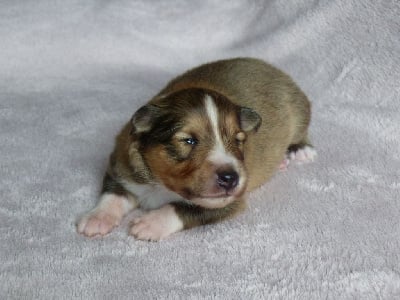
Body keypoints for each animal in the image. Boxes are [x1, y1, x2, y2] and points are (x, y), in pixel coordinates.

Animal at [77, 57, 316, 241]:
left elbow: (183, 208)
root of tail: (270, 66)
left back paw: (298, 151)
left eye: (238, 140)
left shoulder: (226, 201)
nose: (230, 178)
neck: (161, 185)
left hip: (299, 110)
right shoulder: (120, 163)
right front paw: (97, 219)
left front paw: (149, 223)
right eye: (189, 140)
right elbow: (113, 193)